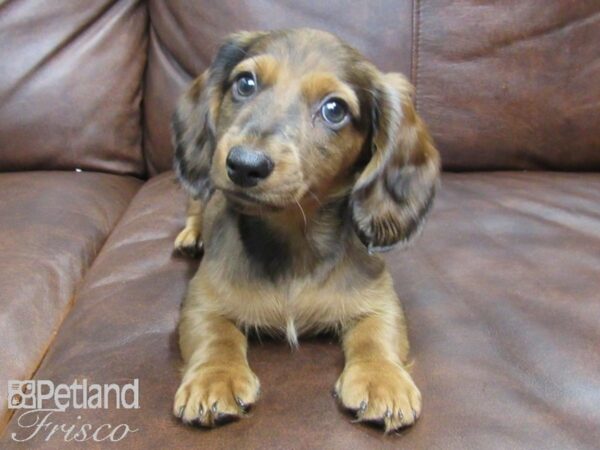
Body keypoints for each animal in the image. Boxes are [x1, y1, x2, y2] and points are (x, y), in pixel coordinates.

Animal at [171, 29, 438, 432]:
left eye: (334, 109)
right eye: (245, 83)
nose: (244, 164)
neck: (294, 237)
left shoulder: (379, 298)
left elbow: (377, 335)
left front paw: (382, 380)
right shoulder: (202, 298)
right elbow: (215, 335)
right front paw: (214, 378)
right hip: (201, 197)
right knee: (195, 208)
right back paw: (191, 236)